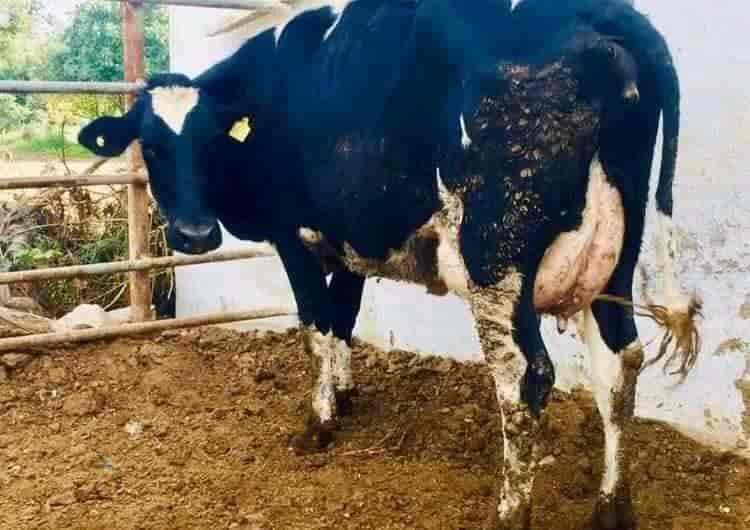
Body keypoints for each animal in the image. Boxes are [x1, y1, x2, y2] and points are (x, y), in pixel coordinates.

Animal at [78, 1, 700, 528]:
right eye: (151, 145)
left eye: (210, 140)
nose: (195, 234)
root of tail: (608, 13)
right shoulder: (353, 241)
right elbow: (343, 319)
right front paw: (345, 393)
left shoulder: (293, 237)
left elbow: (316, 326)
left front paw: (319, 422)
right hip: (616, 258)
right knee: (619, 362)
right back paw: (612, 509)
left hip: (493, 261)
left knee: (525, 379)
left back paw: (508, 513)